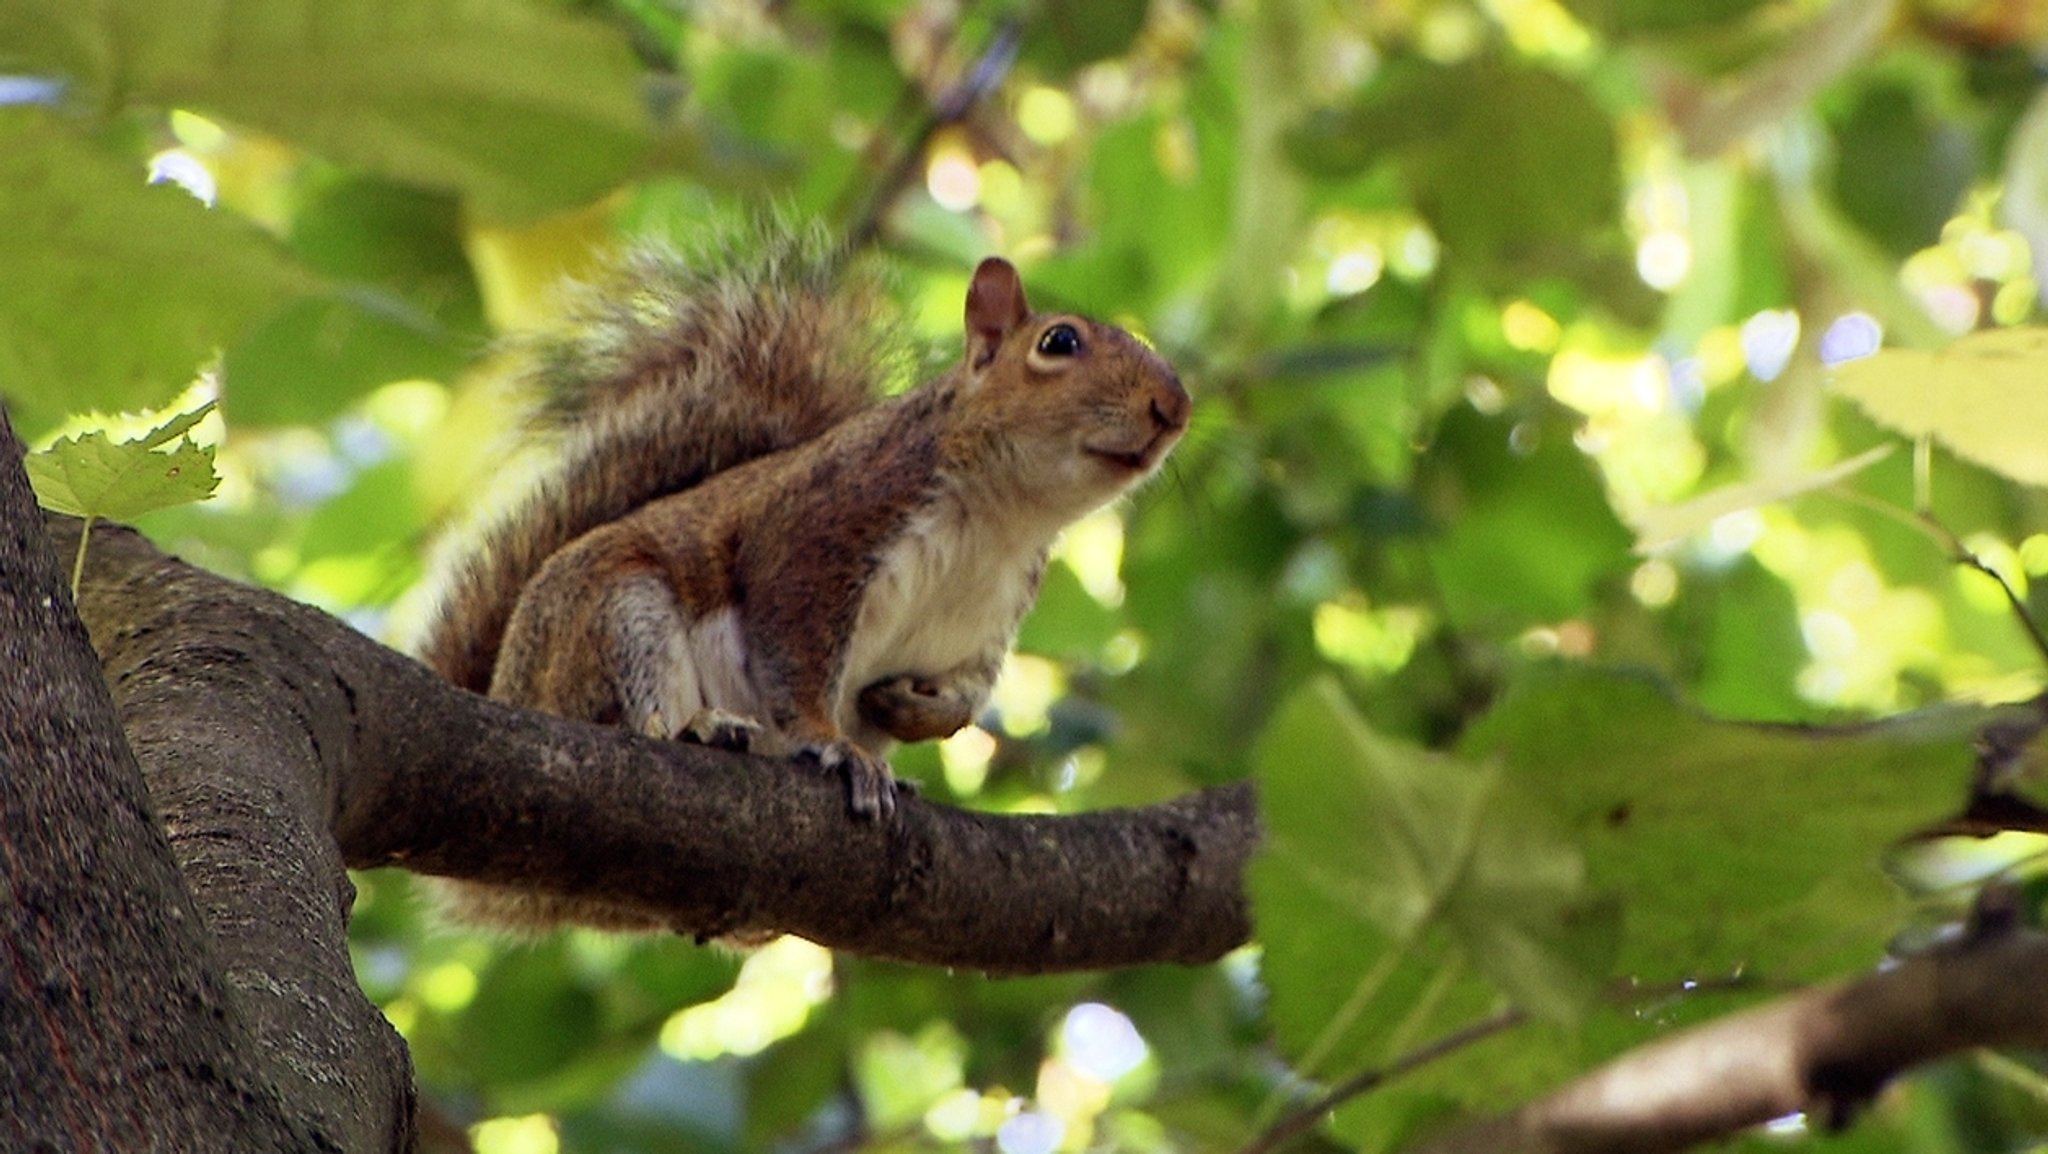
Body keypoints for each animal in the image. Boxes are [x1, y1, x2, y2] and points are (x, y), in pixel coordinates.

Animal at [419, 228, 1187, 938]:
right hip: (616, 616)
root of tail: (511, 686)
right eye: (1060, 342)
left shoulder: (985, 628)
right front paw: (834, 743)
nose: (1174, 408)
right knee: (628, 714)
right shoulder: (822, 530)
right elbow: (796, 652)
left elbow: (965, 696)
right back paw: (700, 728)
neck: (1002, 519)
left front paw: (908, 709)